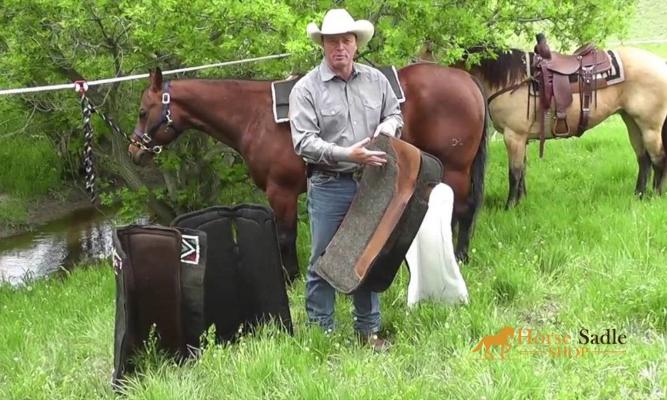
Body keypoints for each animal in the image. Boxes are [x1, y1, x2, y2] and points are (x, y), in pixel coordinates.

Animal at [128, 63, 488, 282]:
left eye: (143, 111)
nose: (135, 151)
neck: (256, 117)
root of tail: (466, 79)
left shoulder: (282, 191)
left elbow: (285, 236)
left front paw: (290, 278)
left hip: (456, 168)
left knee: (463, 209)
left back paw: (459, 255)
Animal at [462, 43, 667, 209]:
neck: (512, 80)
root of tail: (660, 64)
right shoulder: (520, 138)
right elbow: (522, 171)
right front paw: (521, 202)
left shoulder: (513, 136)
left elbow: (514, 173)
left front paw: (510, 206)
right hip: (632, 122)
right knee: (644, 160)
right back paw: (638, 195)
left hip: (650, 126)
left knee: (658, 159)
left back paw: (656, 196)